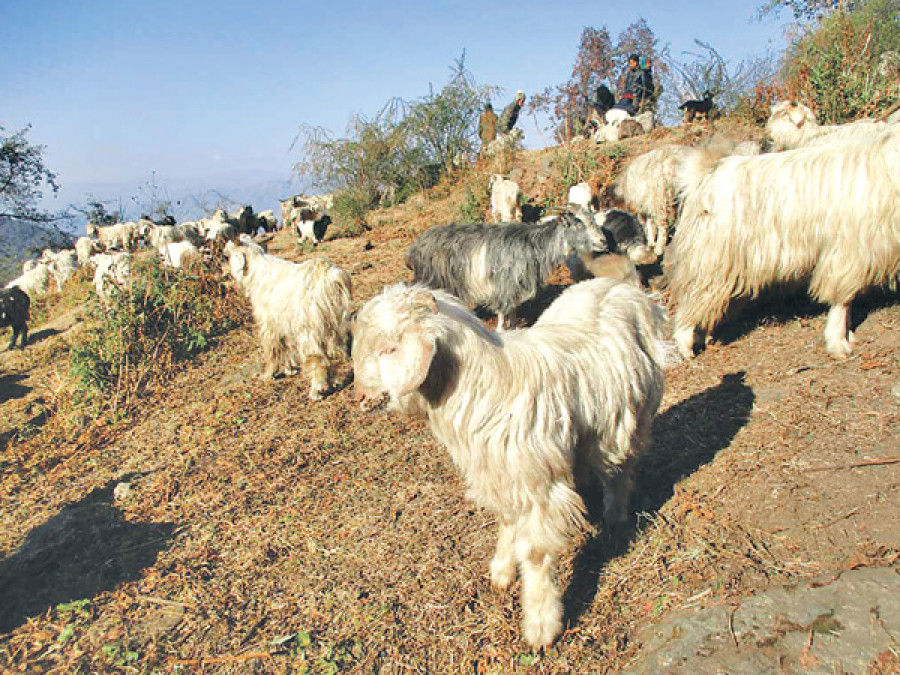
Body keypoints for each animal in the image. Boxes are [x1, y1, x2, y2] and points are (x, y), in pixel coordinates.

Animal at [224, 240, 352, 399]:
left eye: (226, 256)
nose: (225, 274)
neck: (257, 273)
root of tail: (328, 278)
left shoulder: (270, 322)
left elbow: (273, 348)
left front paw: (268, 375)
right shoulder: (284, 322)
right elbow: (286, 346)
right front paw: (289, 369)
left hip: (311, 328)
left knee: (317, 357)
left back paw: (316, 391)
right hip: (336, 324)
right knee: (335, 354)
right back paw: (332, 382)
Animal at [351, 278, 669, 648]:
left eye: (388, 349)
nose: (360, 397)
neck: (479, 390)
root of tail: (630, 292)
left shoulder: (538, 484)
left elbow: (535, 553)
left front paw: (541, 624)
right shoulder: (500, 474)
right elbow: (506, 522)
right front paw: (502, 570)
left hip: (624, 419)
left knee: (620, 470)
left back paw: (615, 518)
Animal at [405, 207, 609, 330]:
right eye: (577, 223)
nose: (603, 241)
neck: (533, 245)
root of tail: (415, 246)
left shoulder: (516, 286)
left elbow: (513, 310)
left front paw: (515, 327)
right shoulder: (503, 285)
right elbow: (503, 311)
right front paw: (502, 330)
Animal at [668, 126, 900, 360]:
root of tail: (706, 173)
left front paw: (848, 335)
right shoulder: (848, 250)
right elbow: (841, 300)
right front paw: (838, 343)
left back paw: (704, 336)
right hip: (710, 257)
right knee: (691, 298)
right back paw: (685, 345)